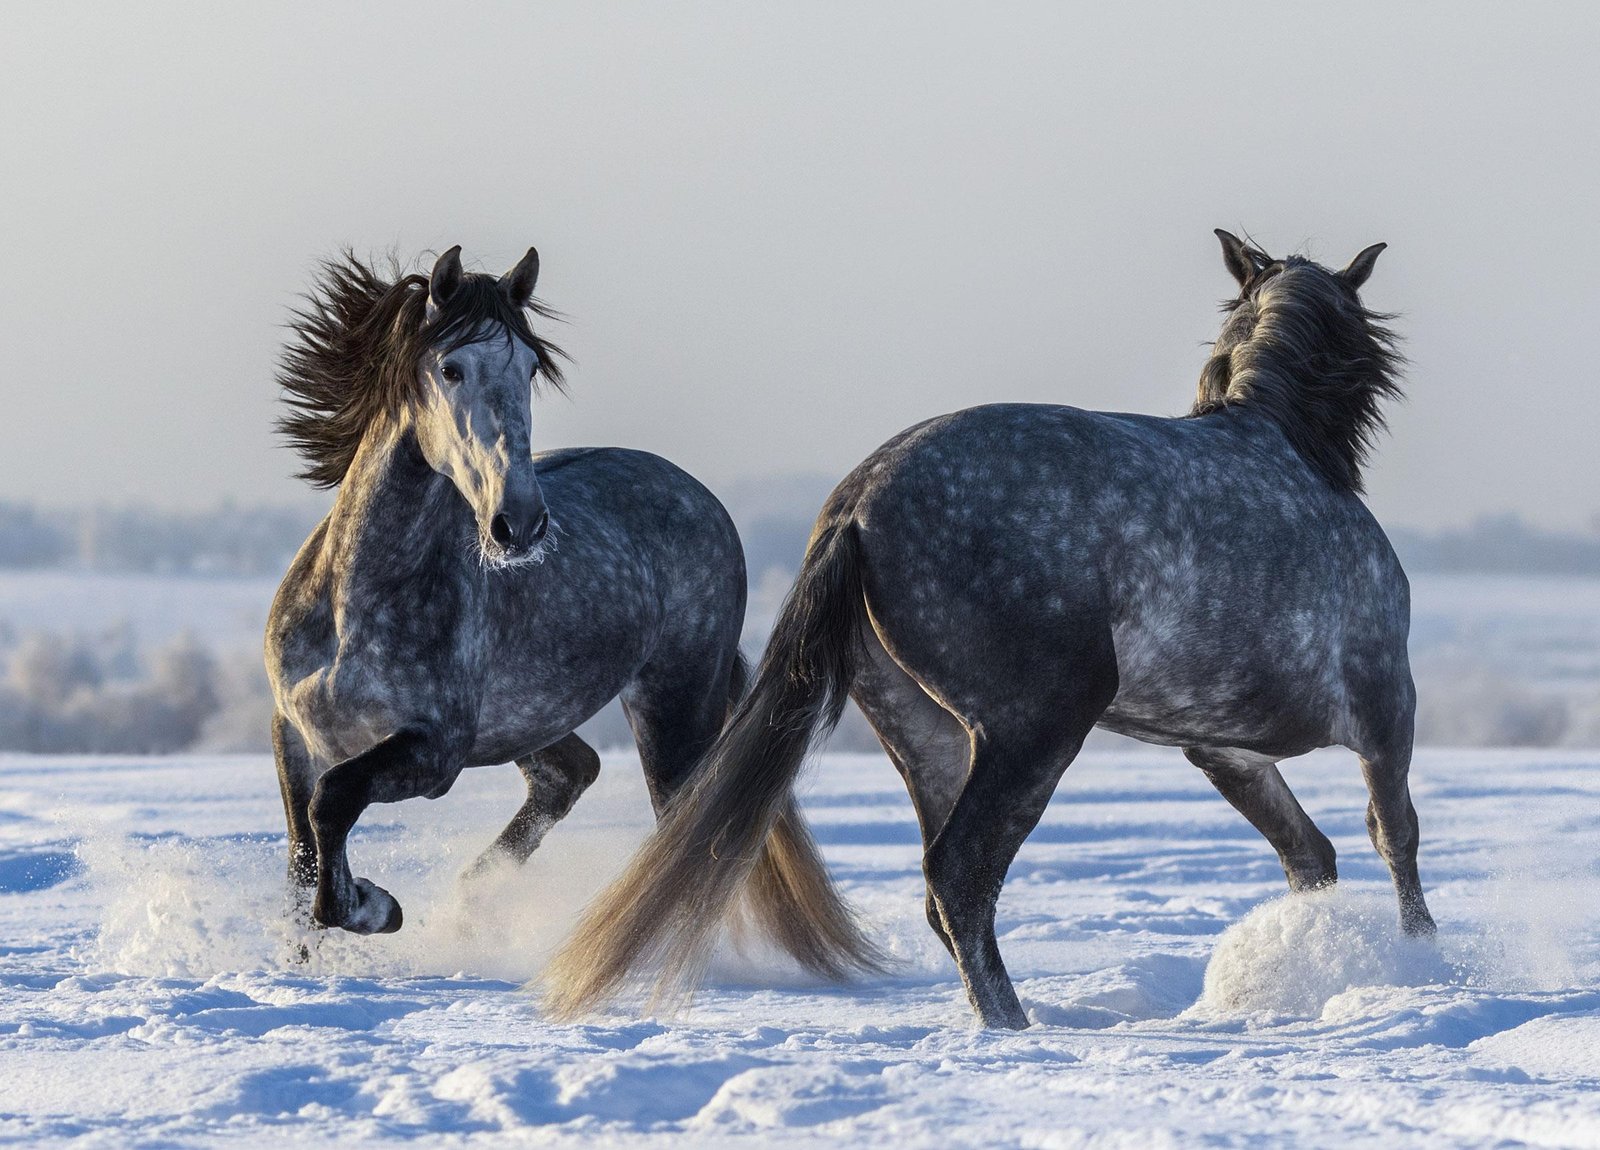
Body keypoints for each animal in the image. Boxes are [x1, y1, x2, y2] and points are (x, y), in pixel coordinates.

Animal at [265, 249, 864, 972]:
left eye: (529, 368)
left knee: (682, 832)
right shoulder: (294, 732)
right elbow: (305, 860)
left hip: (672, 708)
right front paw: (309, 960)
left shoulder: (435, 751)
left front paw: (376, 907)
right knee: (570, 775)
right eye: (450, 367)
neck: (354, 608)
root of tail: (700, 497)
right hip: (530, 723)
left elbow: (334, 810)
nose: (519, 523)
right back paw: (471, 907)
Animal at [550, 228, 1440, 1030]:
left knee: (943, 888)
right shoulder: (1384, 709)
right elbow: (1391, 833)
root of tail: (859, 505)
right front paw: (1422, 959)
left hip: (930, 736)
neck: (1294, 456)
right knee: (962, 873)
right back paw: (1011, 1024)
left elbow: (1309, 855)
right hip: (1035, 728)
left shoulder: (1225, 750)